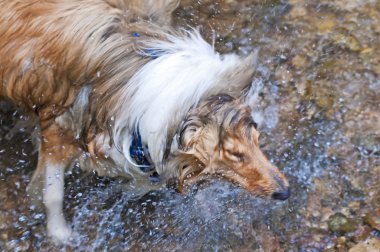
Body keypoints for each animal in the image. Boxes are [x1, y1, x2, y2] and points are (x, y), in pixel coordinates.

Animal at [0, 0, 290, 244]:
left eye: (257, 140)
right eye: (234, 154)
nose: (286, 192)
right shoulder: (58, 128)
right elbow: (53, 193)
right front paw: (60, 233)